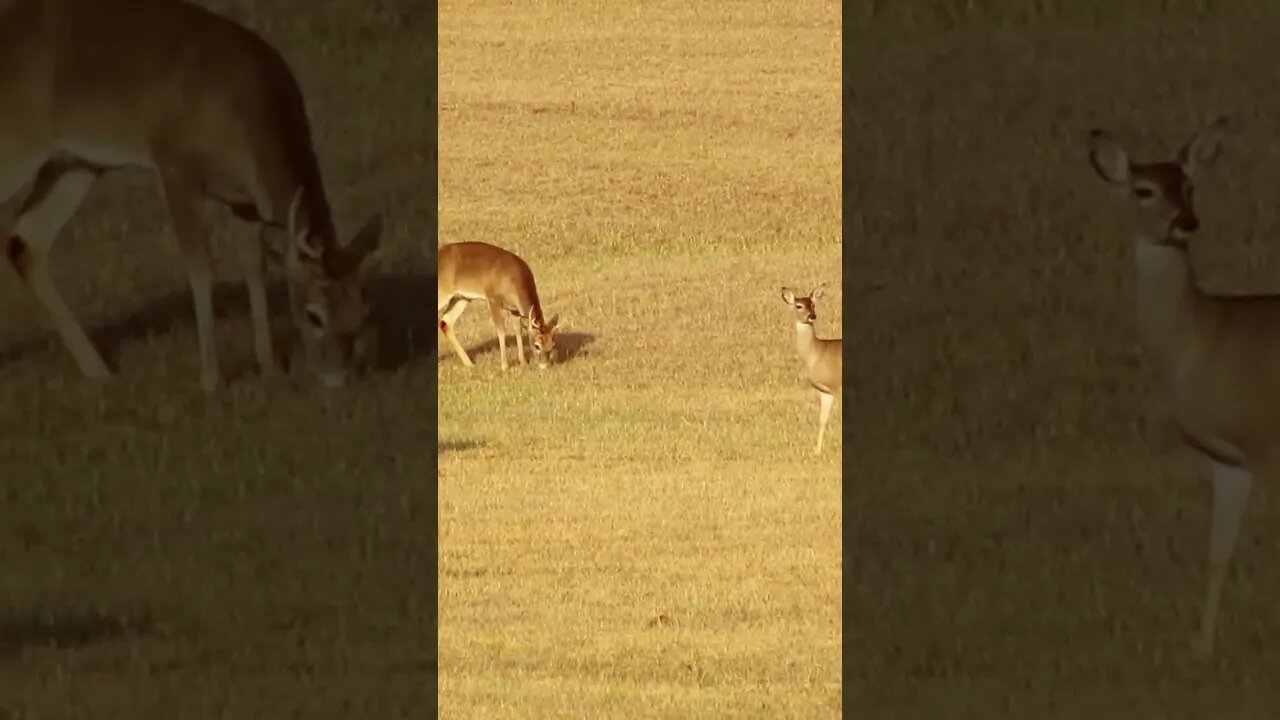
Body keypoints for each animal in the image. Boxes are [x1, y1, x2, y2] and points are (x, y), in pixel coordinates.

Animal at [0, 0, 384, 392]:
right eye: (314, 314)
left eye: (363, 309)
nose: (337, 378)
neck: (240, 111)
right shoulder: (174, 165)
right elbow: (200, 270)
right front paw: (211, 380)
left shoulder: (244, 200)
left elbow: (253, 265)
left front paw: (269, 366)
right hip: (16, 145)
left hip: (76, 163)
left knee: (26, 241)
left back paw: (101, 371)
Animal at [437, 241, 561, 371]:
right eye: (537, 345)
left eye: (552, 345)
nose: (544, 366)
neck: (513, 281)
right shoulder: (493, 298)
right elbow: (501, 331)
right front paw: (504, 366)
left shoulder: (514, 309)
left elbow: (517, 330)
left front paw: (522, 362)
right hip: (443, 292)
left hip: (462, 298)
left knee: (446, 322)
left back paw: (469, 363)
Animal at [780, 284, 842, 455]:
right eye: (799, 306)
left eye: (813, 304)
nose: (812, 316)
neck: (818, 353)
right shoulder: (825, 391)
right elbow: (822, 419)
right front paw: (817, 451)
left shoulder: (838, 386)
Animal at [1083, 115, 1280, 658]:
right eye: (1144, 189)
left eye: (1190, 185)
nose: (1186, 221)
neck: (1205, 339)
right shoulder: (1230, 460)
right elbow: (1218, 551)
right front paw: (1201, 649)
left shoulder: (1268, 442)